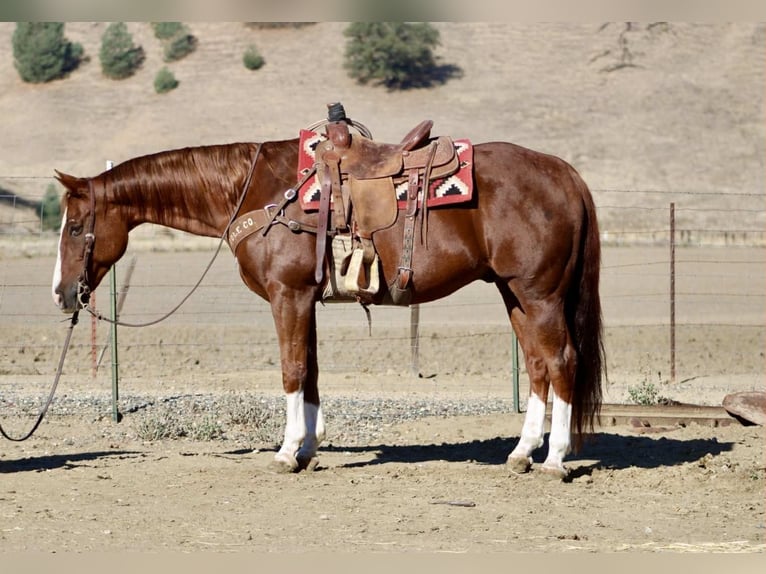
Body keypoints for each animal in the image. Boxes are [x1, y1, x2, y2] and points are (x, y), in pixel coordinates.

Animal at [51, 129, 605, 479]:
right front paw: (308, 450)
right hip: (514, 293)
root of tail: (564, 172)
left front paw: (285, 451)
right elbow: (311, 371)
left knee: (561, 361)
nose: (61, 293)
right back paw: (521, 453)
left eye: (76, 227)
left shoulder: (288, 295)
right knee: (537, 365)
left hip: (539, 293)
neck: (260, 191)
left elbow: (292, 370)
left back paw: (554, 460)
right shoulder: (304, 299)